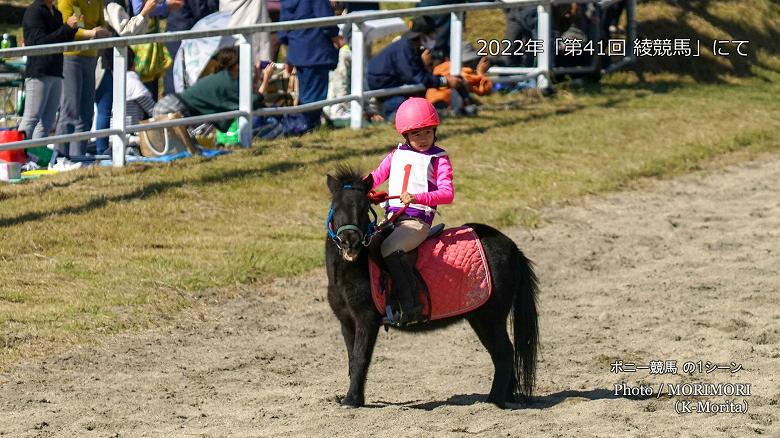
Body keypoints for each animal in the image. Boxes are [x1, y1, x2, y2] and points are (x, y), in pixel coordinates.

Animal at [326, 166, 540, 408]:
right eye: (335, 207)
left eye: (364, 208)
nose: (350, 242)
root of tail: (512, 247)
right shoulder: (347, 321)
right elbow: (352, 359)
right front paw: (355, 398)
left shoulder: (367, 320)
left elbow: (361, 357)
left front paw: (351, 400)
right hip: (480, 317)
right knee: (504, 354)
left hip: (490, 318)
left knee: (504, 353)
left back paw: (492, 402)